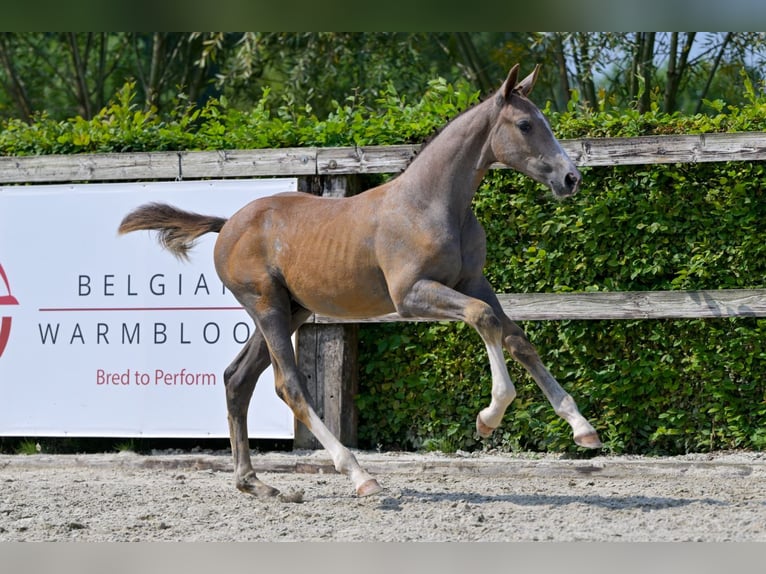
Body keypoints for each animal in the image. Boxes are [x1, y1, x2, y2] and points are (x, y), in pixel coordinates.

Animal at [120, 64, 604, 500]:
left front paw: (583, 428)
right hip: (267, 306)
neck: (430, 203)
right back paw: (359, 475)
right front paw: (489, 416)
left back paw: (256, 484)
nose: (571, 178)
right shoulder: (410, 295)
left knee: (237, 379)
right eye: (525, 124)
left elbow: (517, 337)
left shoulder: (474, 280)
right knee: (288, 385)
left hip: (291, 310)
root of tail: (227, 225)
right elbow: (483, 319)